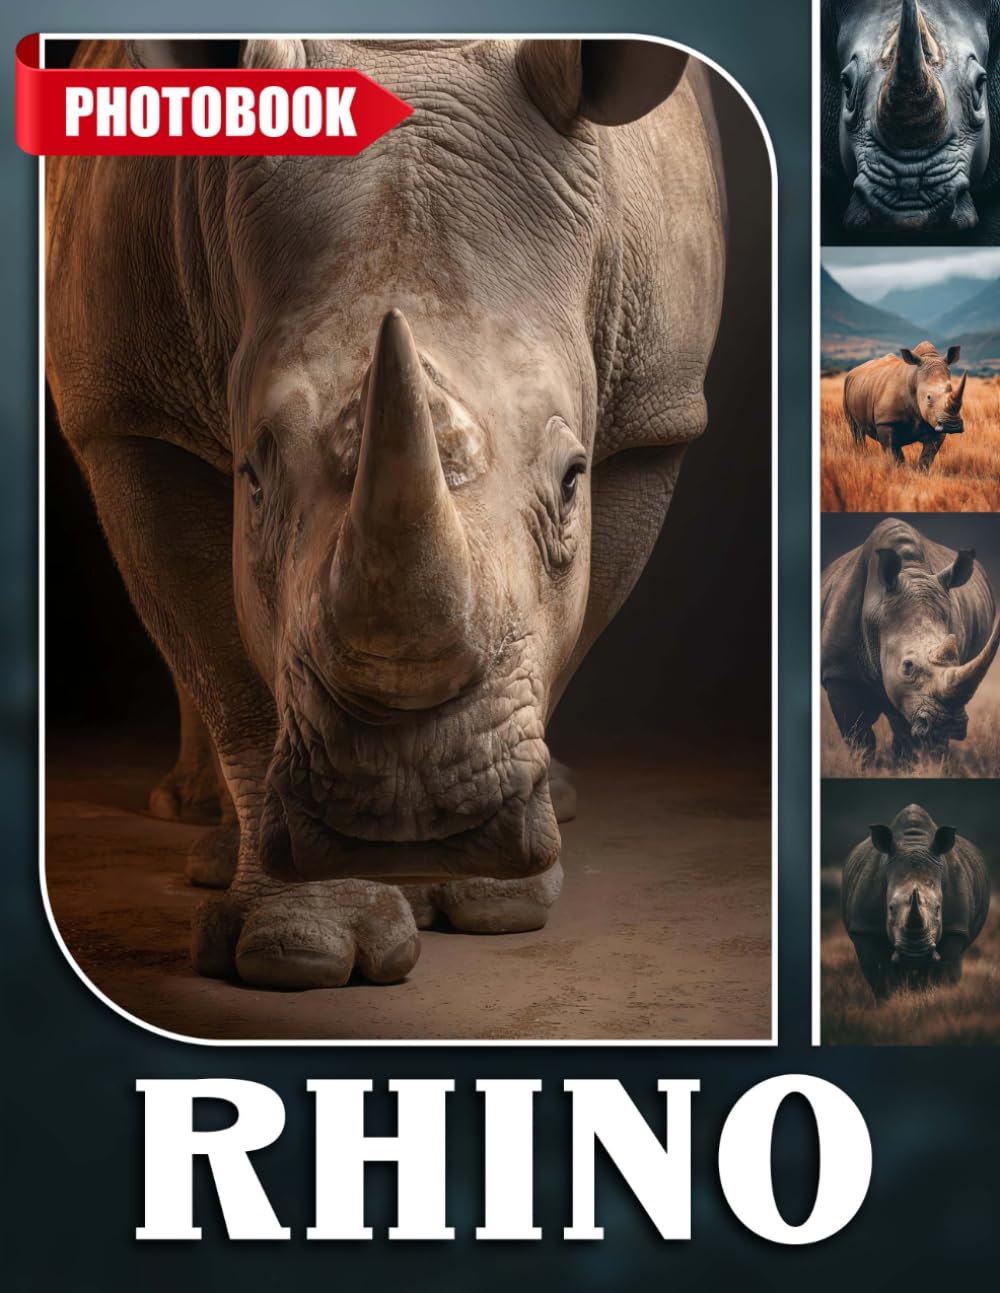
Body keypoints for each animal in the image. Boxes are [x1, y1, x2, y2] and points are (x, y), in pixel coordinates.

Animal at [46, 39, 727, 991]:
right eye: (254, 480)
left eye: (571, 482)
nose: (409, 806)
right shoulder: (127, 405)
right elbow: (227, 664)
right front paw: (300, 949)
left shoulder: (654, 415)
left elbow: (572, 624)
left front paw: (488, 893)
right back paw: (200, 831)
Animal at [821, 517, 1000, 767]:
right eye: (907, 666)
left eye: (958, 658)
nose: (948, 724)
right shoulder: (838, 672)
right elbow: (858, 736)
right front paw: (863, 767)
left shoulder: (913, 696)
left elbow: (908, 731)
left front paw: (909, 766)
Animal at [841, 803, 991, 999]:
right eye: (890, 908)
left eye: (938, 908)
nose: (915, 952)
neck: (913, 843)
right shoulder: (865, 928)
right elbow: (880, 975)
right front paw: (891, 1001)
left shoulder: (955, 928)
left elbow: (943, 972)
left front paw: (932, 997)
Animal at [843, 341, 967, 471]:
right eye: (928, 397)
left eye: (951, 390)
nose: (952, 425)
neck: (915, 379)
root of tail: (853, 371)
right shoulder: (886, 422)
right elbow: (895, 454)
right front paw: (900, 471)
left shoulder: (936, 423)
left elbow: (927, 457)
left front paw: (921, 472)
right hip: (847, 384)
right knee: (856, 431)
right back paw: (861, 455)